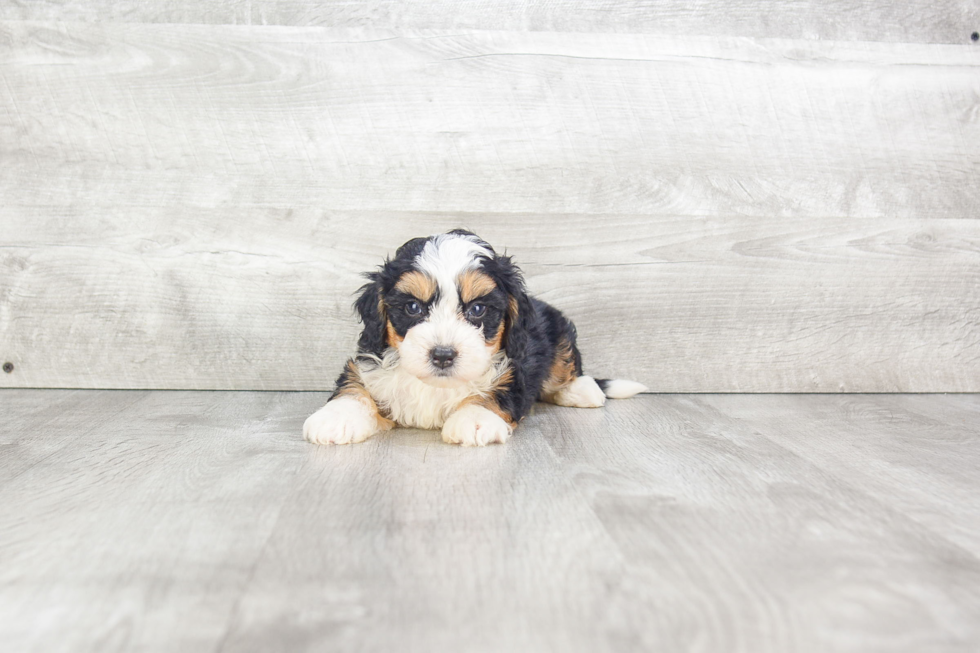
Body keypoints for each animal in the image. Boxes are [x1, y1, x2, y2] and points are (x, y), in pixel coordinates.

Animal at [302, 230, 648, 448]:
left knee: (565, 368)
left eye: (478, 309)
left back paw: (582, 390)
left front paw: (475, 418)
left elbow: (493, 394)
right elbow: (354, 385)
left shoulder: (514, 371)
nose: (443, 355)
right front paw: (335, 417)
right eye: (413, 307)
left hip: (558, 331)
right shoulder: (368, 360)